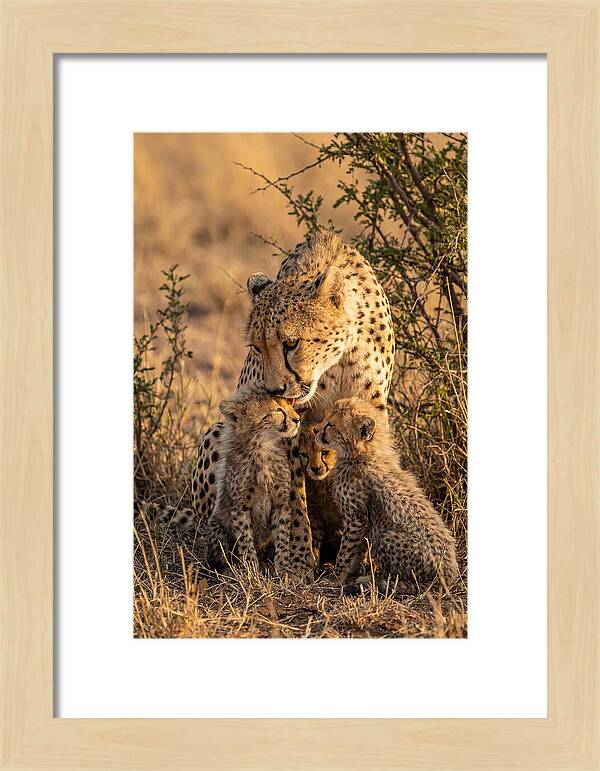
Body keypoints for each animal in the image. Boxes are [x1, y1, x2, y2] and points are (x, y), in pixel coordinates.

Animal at [206, 385, 301, 574]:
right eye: (277, 410)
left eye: (289, 405)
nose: (297, 419)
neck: (262, 449)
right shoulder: (240, 506)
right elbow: (245, 539)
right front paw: (250, 569)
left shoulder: (281, 503)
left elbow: (282, 536)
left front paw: (283, 568)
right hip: (216, 522)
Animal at [315, 397, 459, 595]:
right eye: (325, 418)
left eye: (331, 424)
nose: (315, 430)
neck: (362, 454)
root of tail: (448, 576)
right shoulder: (362, 521)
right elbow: (357, 550)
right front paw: (350, 572)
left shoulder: (356, 518)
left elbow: (346, 551)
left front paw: (336, 578)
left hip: (387, 537)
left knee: (408, 582)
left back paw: (374, 581)